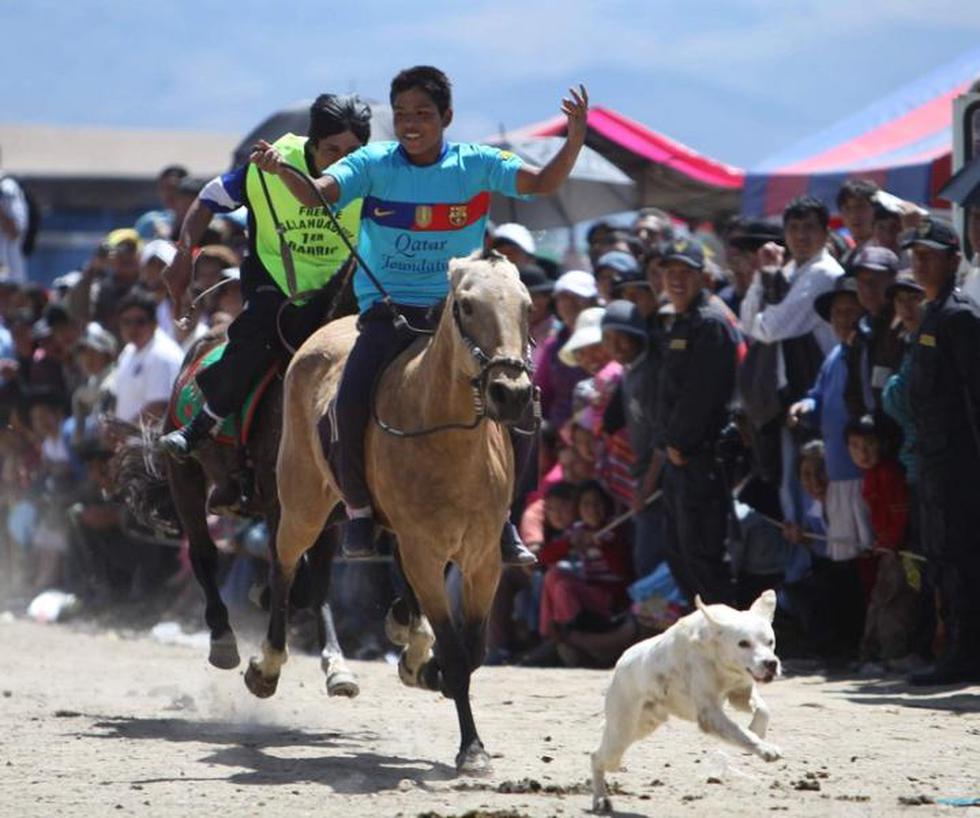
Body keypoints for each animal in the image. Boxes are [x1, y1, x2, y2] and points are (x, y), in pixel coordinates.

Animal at [112, 326, 359, 698]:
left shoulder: (331, 517)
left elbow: (316, 581)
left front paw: (337, 666)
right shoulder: (279, 504)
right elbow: (287, 569)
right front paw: (267, 667)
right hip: (185, 476)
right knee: (203, 554)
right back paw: (222, 637)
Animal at [244, 251, 534, 773]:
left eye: (527, 306)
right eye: (465, 306)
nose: (512, 391)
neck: (450, 441)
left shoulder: (483, 559)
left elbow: (474, 648)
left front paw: (426, 667)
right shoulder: (425, 555)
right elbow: (457, 653)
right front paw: (472, 748)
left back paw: (408, 637)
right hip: (301, 502)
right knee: (284, 565)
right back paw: (268, 666)